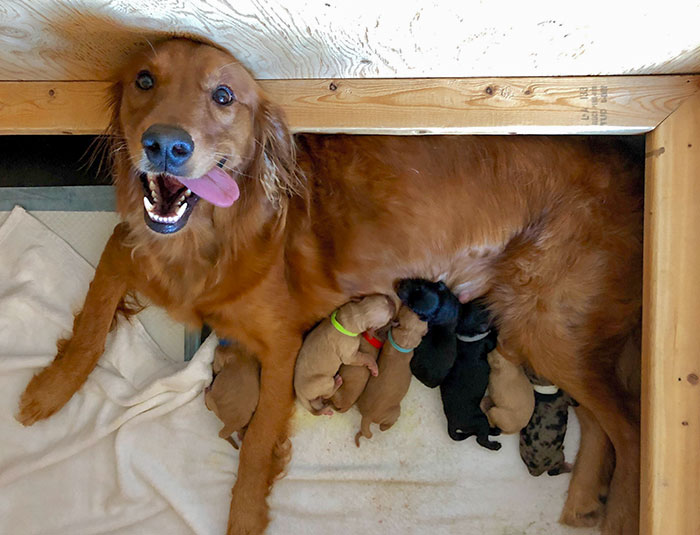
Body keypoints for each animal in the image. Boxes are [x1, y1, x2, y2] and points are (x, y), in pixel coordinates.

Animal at [440, 302, 500, 452]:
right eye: (485, 309)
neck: (466, 337)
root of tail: (451, 423)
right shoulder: (487, 342)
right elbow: (493, 339)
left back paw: (495, 431)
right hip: (480, 420)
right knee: (481, 439)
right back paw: (495, 444)